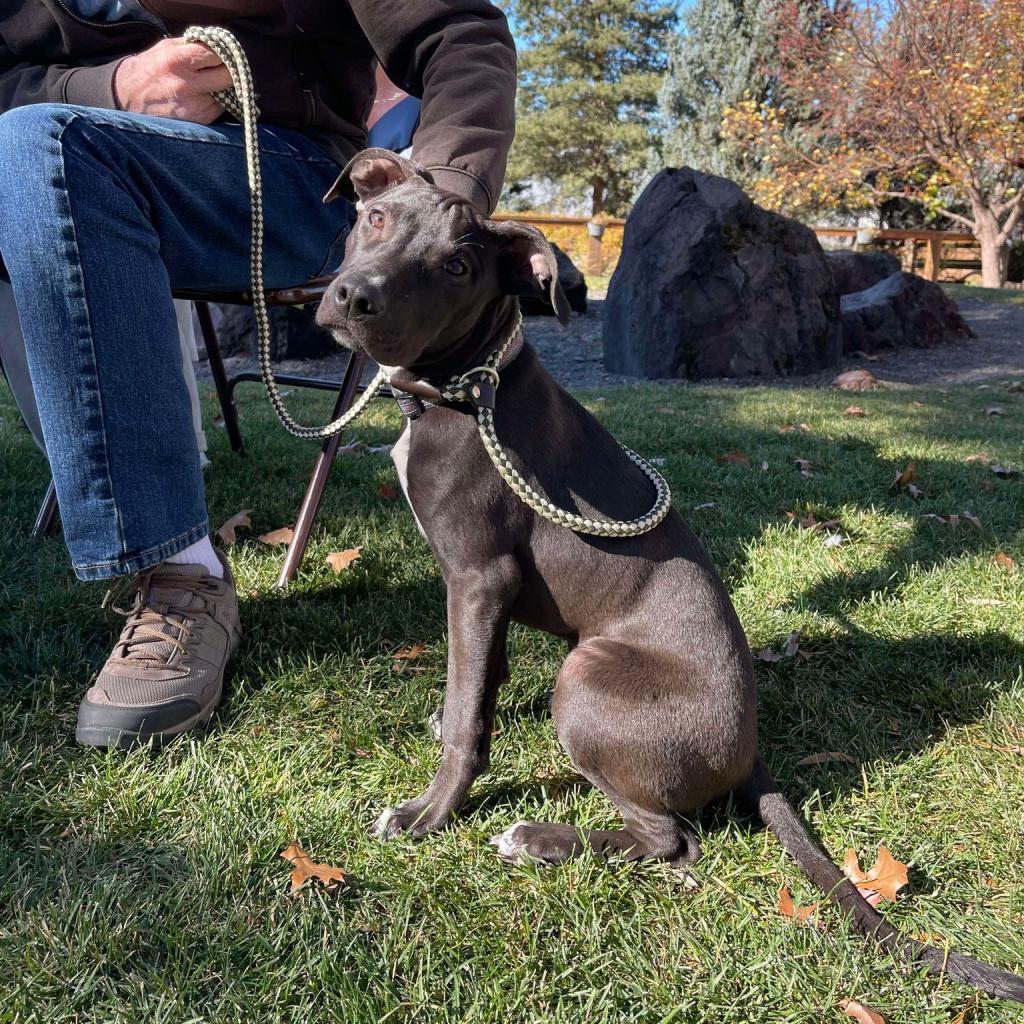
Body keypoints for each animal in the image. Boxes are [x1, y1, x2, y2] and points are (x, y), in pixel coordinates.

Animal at [313, 148, 1024, 1003]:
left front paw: (429, 816)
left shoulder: (477, 579)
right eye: (375, 218)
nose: (355, 297)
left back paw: (538, 838)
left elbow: (465, 723)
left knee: (671, 841)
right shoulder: (491, 597)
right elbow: (475, 690)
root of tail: (750, 751)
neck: (469, 383)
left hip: (585, 677)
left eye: (456, 265)